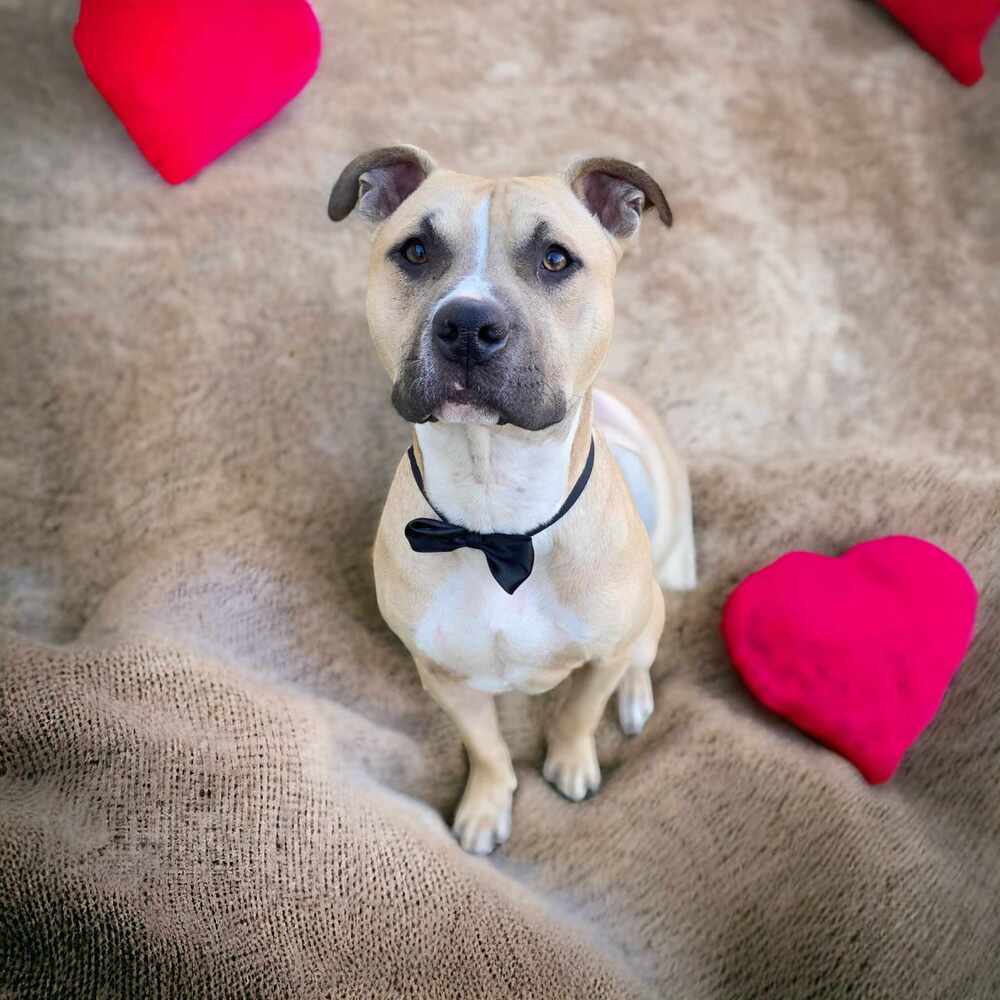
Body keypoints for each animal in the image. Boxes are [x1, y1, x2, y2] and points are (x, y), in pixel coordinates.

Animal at [328, 145, 696, 856]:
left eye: (555, 259)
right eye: (416, 251)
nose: (468, 324)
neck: (497, 516)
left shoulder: (601, 657)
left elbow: (579, 712)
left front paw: (571, 764)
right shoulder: (443, 677)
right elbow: (488, 748)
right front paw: (486, 805)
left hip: (652, 603)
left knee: (643, 649)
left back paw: (636, 697)